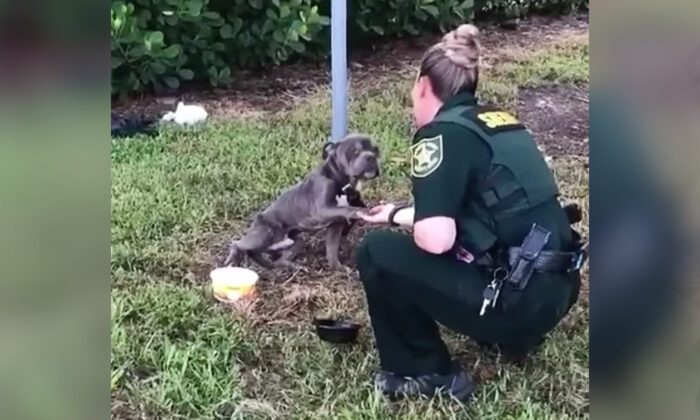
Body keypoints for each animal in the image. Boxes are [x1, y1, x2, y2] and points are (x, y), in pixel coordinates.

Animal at [223, 134, 380, 270]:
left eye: (375, 149)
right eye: (354, 150)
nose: (371, 157)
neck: (341, 181)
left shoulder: (335, 225)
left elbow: (332, 249)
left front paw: (337, 267)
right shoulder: (321, 210)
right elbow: (348, 209)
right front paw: (363, 211)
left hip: (295, 242)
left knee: (275, 259)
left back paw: (292, 266)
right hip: (265, 232)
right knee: (238, 244)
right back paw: (234, 258)